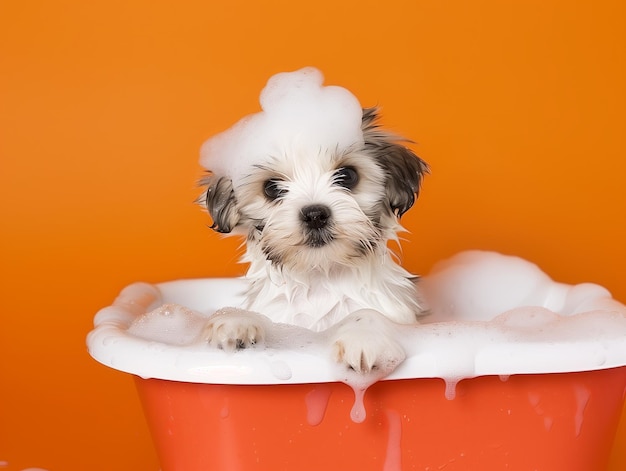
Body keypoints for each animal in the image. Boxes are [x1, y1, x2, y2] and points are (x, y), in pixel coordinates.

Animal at [197, 104, 426, 376]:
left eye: (347, 176)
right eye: (271, 188)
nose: (315, 215)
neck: (320, 277)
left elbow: (369, 314)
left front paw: (364, 335)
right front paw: (235, 321)